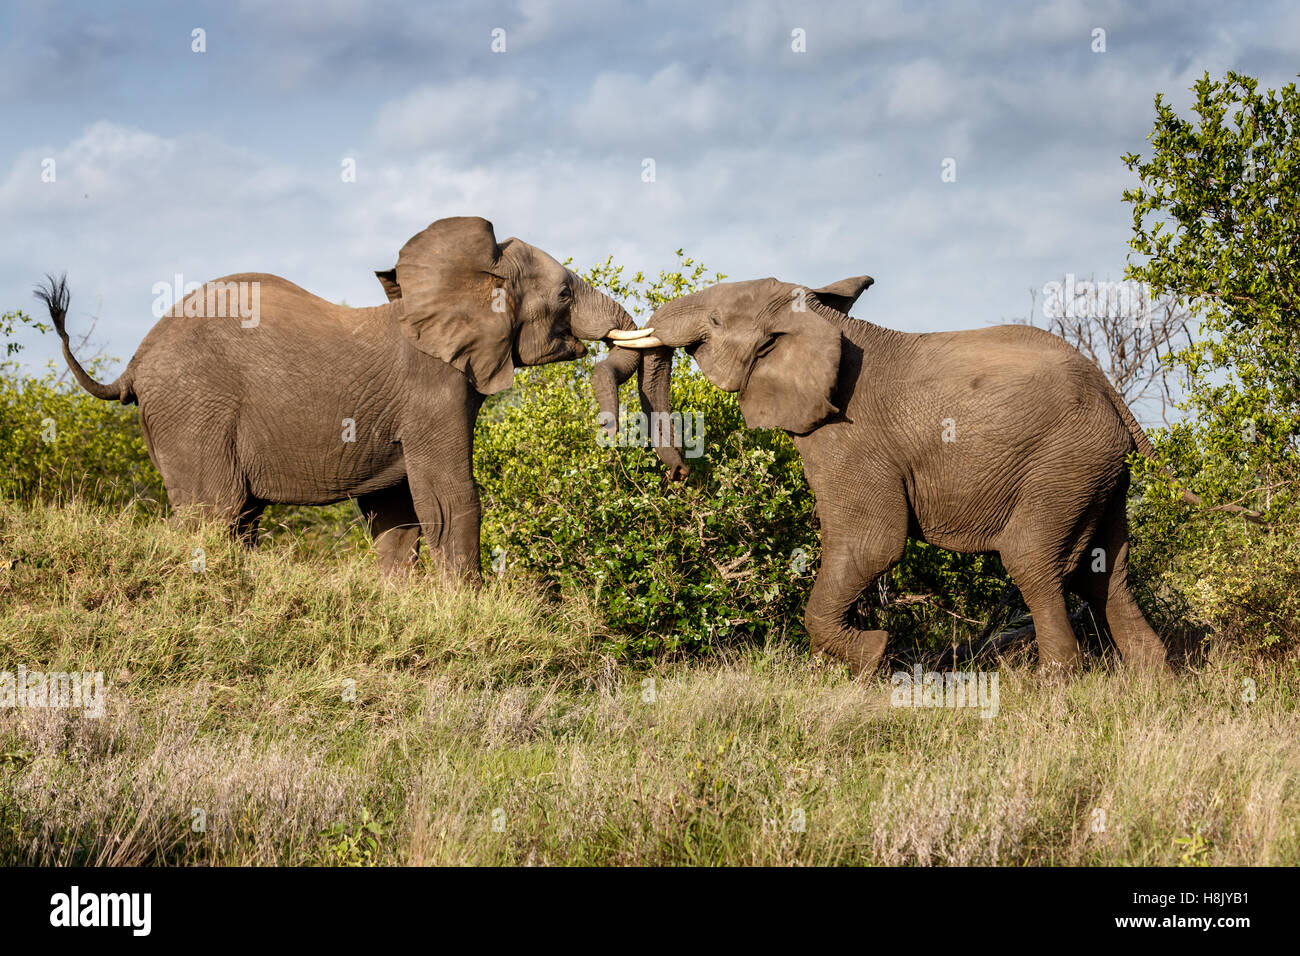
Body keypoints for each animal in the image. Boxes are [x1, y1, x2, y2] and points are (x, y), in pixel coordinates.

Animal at [35, 214, 686, 582]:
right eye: (566, 292)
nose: (677, 475)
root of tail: (132, 364)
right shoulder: (433, 387)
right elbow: (451, 494)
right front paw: (466, 605)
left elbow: (397, 513)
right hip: (192, 408)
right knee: (214, 511)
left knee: (238, 517)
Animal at [613, 277, 1175, 676]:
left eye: (712, 320)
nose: (681, 472)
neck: (817, 319)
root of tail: (1111, 393)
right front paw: (874, 653)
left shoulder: (848, 436)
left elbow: (872, 542)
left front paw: (874, 654)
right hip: (1096, 473)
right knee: (1104, 572)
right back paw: (1155, 686)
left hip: (1064, 462)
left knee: (1033, 560)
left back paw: (1054, 686)